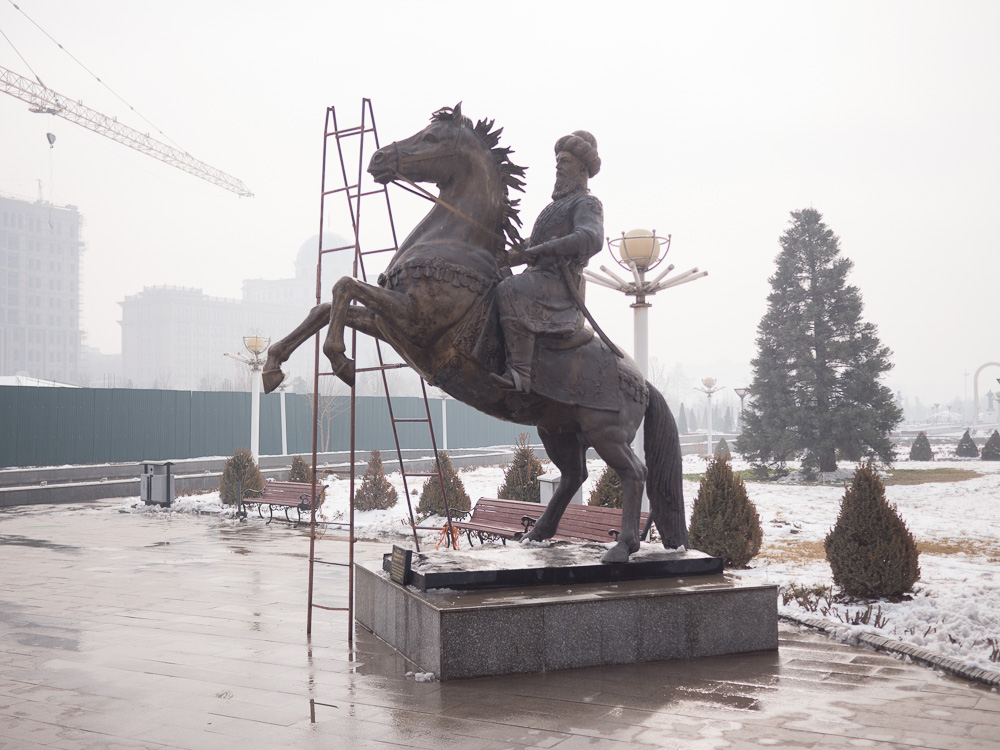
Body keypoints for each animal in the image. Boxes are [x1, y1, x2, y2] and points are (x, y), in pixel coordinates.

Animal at [262, 106, 692, 564]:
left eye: (432, 137)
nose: (378, 158)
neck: (456, 246)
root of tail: (642, 381)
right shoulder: (392, 325)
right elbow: (327, 305)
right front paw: (273, 367)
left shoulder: (414, 321)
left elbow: (344, 286)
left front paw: (339, 359)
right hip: (557, 428)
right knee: (573, 475)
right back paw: (536, 535)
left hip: (605, 432)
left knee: (634, 473)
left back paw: (621, 547)